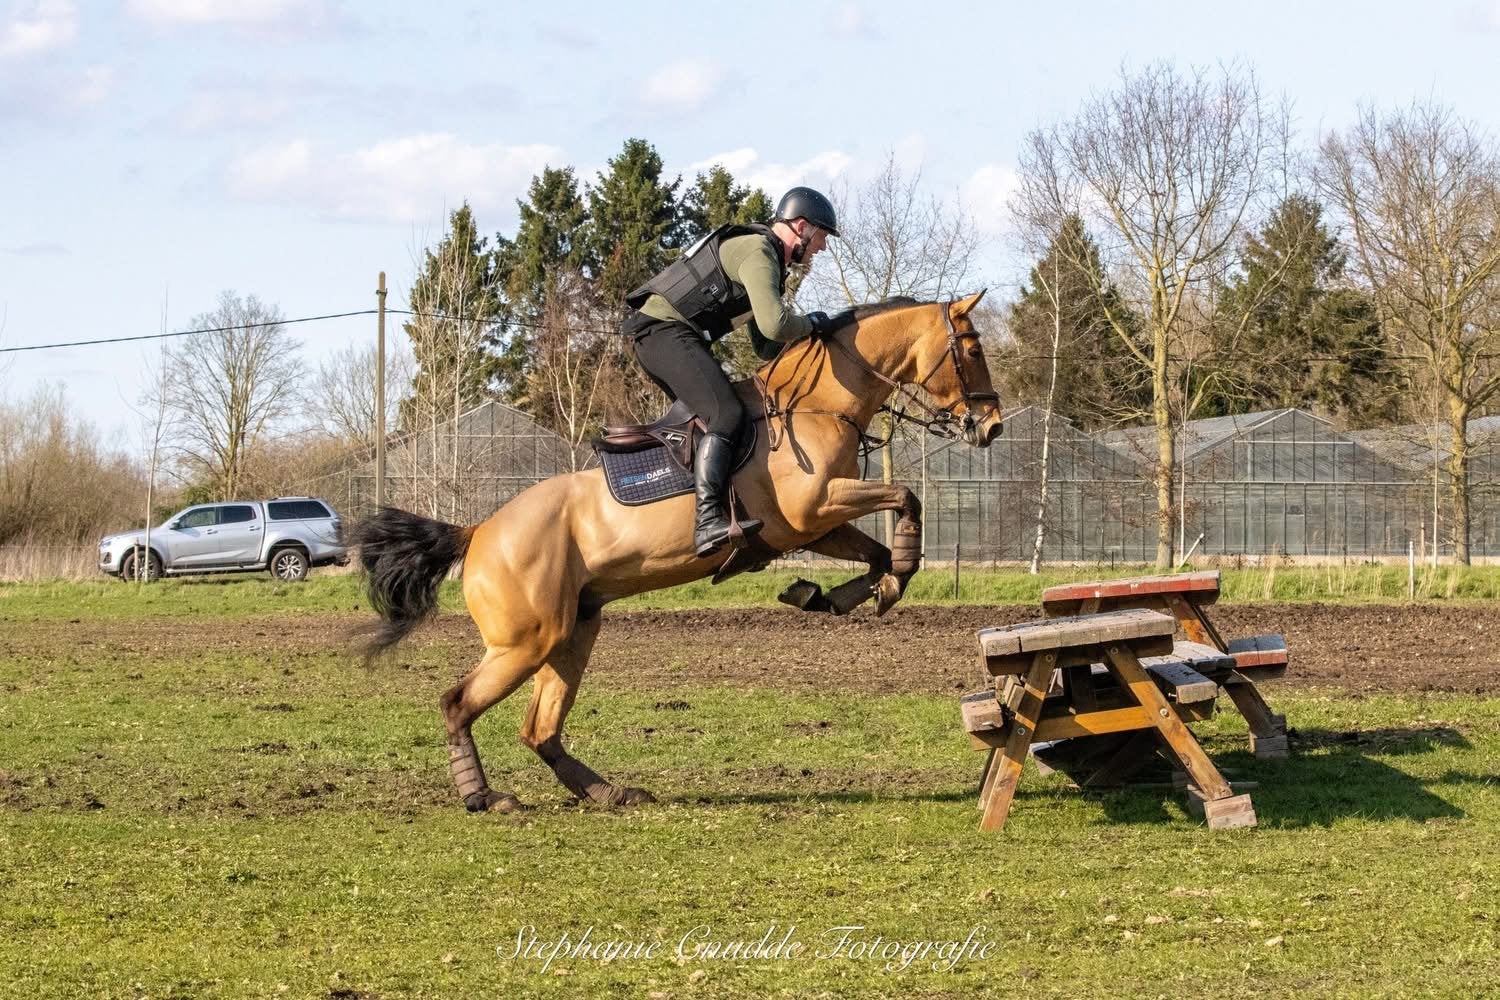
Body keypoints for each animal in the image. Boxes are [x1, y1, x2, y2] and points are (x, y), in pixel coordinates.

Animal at [353, 292, 1003, 812]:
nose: (992, 426)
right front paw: (885, 576)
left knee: (540, 729)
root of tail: (478, 532)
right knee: (458, 703)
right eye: (971, 349)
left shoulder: (811, 528)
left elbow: (875, 552)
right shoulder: (813, 509)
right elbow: (906, 496)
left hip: (572, 632)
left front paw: (839, 595)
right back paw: (484, 796)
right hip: (525, 641)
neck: (816, 404)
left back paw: (609, 792)